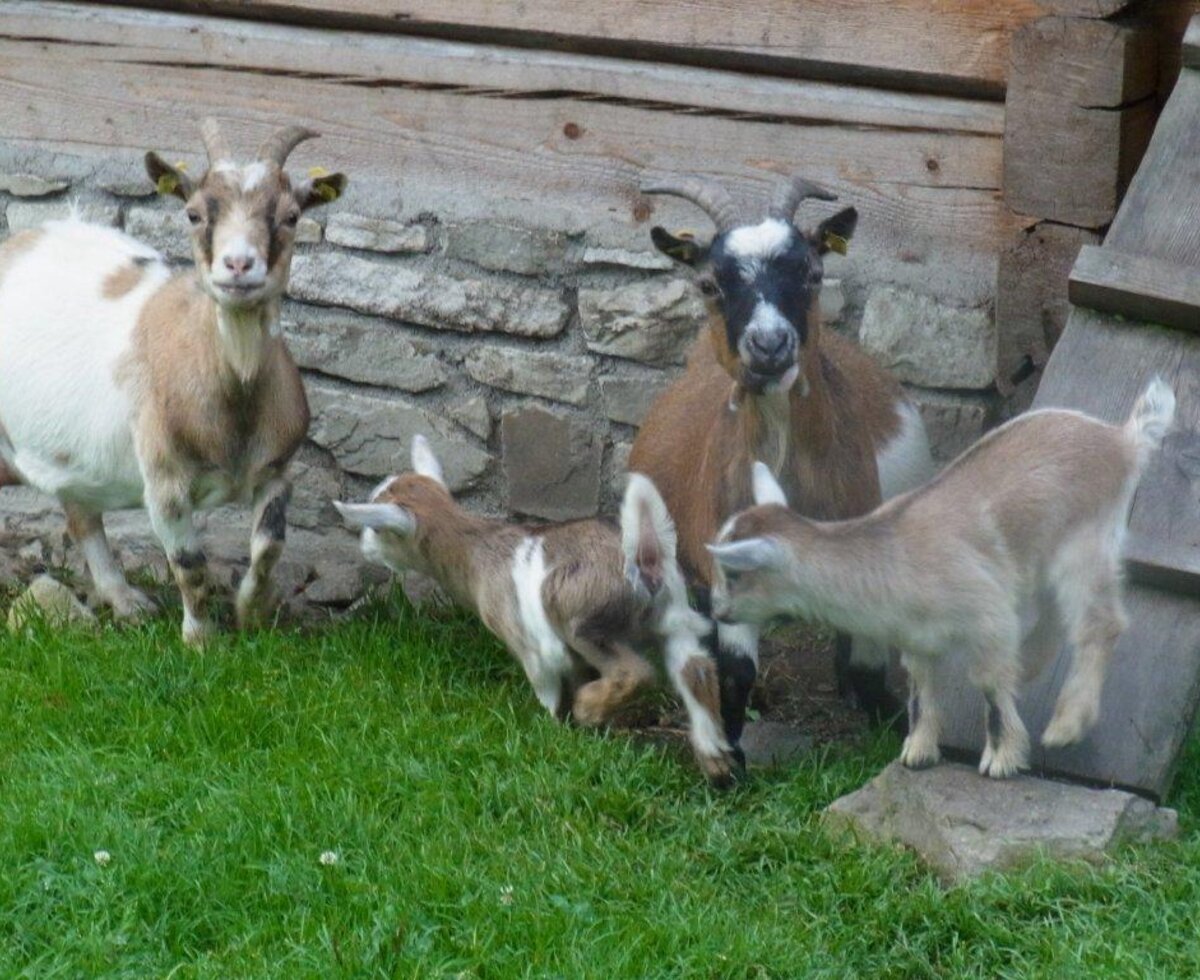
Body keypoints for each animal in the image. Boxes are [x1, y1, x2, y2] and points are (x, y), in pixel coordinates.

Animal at [0, 118, 346, 644]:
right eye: (193, 213)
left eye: (290, 216)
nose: (238, 265)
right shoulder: (163, 482)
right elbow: (189, 565)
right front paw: (200, 641)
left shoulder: (278, 470)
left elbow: (268, 550)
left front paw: (250, 613)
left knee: (81, 514)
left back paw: (125, 601)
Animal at [335, 436, 735, 785]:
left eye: (375, 528)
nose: (364, 549)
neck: (478, 551)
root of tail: (643, 559)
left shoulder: (531, 643)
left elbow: (547, 686)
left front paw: (555, 728)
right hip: (673, 619)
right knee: (697, 671)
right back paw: (716, 763)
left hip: (581, 615)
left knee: (635, 670)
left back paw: (590, 708)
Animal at [629, 173, 934, 757]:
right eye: (710, 284)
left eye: (812, 274)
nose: (769, 344)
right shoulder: (725, 570)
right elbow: (737, 672)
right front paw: (729, 758)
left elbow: (868, 662)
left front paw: (892, 724)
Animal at [706, 379, 1175, 778]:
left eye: (734, 573)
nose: (718, 611)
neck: (893, 555)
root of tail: (1123, 440)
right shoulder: (918, 637)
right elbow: (921, 687)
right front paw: (917, 752)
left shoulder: (987, 617)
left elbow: (987, 681)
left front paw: (1001, 758)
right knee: (1056, 616)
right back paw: (1028, 668)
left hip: (1086, 543)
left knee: (1100, 623)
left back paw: (1065, 727)